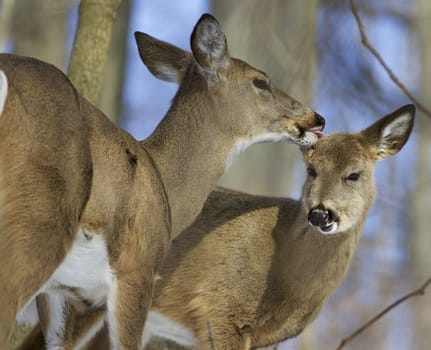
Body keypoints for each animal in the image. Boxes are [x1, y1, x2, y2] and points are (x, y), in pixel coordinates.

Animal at [0, 13, 324, 350]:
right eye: (261, 81)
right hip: (37, 222)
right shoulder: (138, 268)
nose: (317, 118)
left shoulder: (62, 289)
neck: (164, 183)